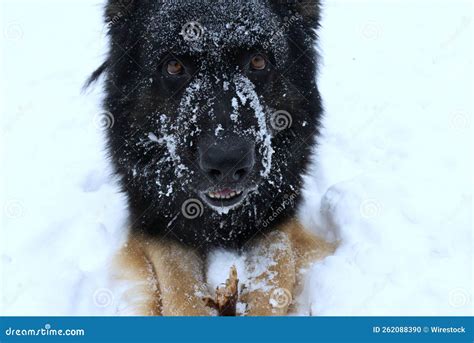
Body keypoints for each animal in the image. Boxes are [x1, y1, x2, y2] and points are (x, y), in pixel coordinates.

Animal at [88, 0, 334, 318]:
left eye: (258, 62)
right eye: (174, 66)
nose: (226, 163)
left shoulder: (278, 218)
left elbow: (274, 279)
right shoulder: (157, 226)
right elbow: (181, 294)